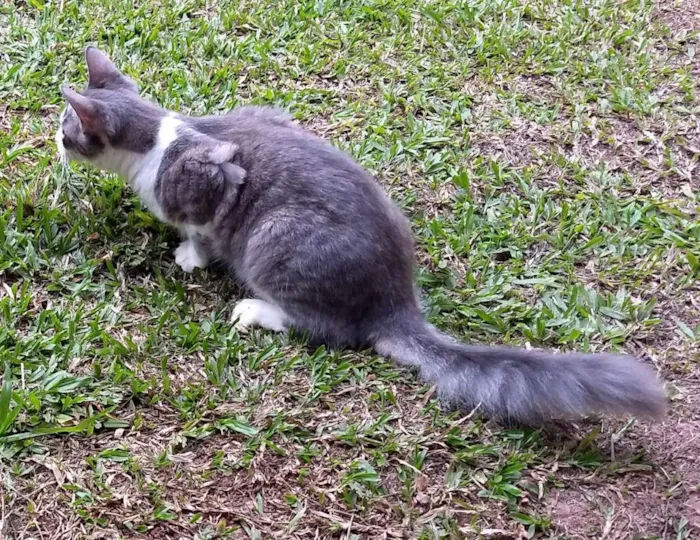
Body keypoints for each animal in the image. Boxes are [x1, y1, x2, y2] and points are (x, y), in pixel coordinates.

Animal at [56, 46, 668, 424]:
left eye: (66, 133)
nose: (53, 143)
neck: (162, 137)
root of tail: (395, 302)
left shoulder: (211, 183)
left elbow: (203, 229)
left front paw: (189, 255)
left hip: (274, 240)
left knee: (330, 328)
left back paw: (256, 310)